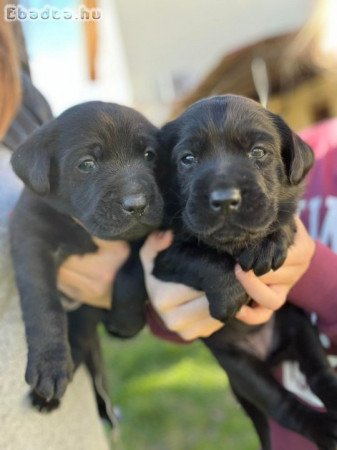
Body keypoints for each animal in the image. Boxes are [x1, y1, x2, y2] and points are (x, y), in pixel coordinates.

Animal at [10, 103, 163, 404]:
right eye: (86, 164)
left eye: (150, 155)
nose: (137, 204)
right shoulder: (31, 239)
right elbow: (43, 302)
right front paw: (49, 363)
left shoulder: (143, 238)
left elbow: (132, 272)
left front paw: (126, 320)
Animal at [154, 94, 336, 446]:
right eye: (187, 159)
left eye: (258, 153)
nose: (225, 199)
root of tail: (271, 355)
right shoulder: (161, 255)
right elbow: (198, 255)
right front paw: (229, 296)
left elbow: (282, 215)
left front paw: (270, 242)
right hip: (242, 369)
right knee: (283, 405)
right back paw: (324, 428)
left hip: (300, 328)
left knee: (319, 372)